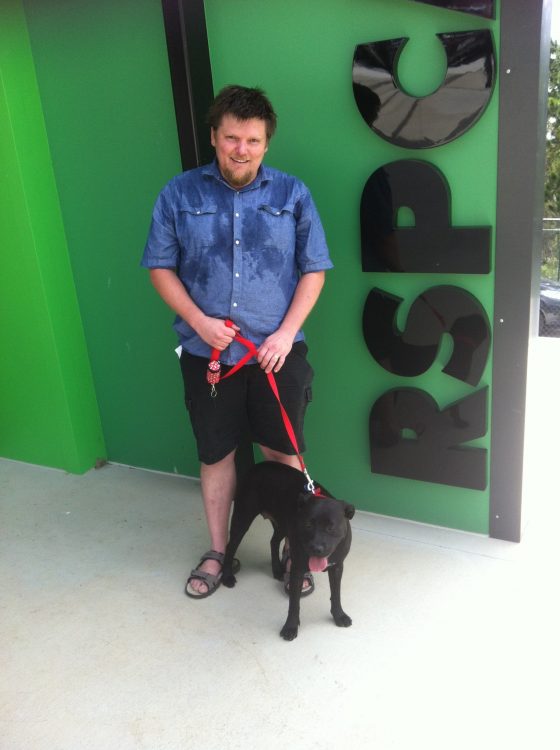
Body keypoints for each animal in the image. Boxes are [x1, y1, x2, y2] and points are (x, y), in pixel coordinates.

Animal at [220, 462, 354, 644]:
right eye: (308, 525)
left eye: (330, 528)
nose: (316, 548)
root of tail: (256, 466)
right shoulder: (297, 570)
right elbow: (294, 603)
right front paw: (290, 627)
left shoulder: (337, 567)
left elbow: (336, 594)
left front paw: (339, 615)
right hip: (242, 518)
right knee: (230, 546)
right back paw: (227, 576)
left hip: (283, 524)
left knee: (273, 541)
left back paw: (277, 569)